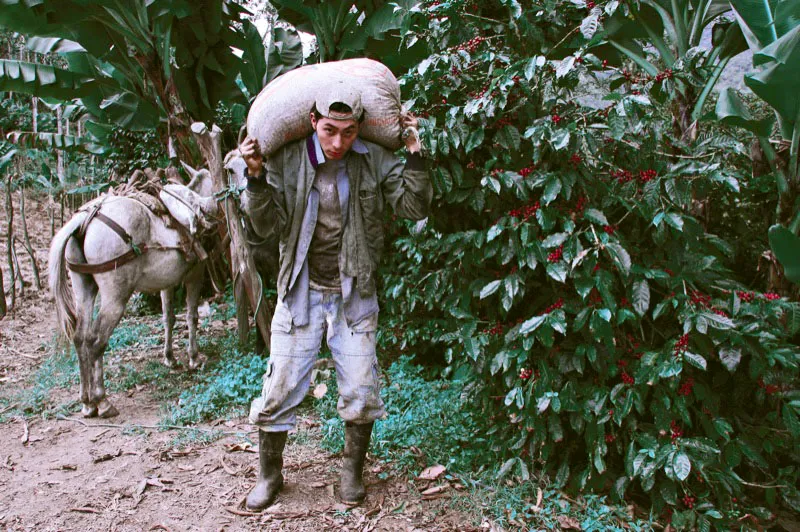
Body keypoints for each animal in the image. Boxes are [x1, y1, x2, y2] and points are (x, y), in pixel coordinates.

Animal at [49, 166, 219, 420]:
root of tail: (85, 220)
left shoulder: (167, 282)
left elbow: (168, 318)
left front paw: (169, 357)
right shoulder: (195, 274)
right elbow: (191, 316)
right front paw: (193, 357)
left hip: (83, 287)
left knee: (80, 338)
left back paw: (87, 402)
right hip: (115, 297)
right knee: (96, 340)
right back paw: (102, 401)